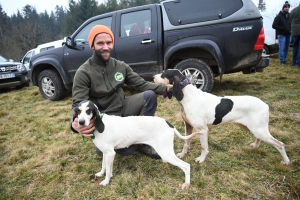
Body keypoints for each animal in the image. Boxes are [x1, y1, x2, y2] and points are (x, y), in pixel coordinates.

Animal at [154, 69, 290, 165]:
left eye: (164, 73)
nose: (153, 77)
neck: (188, 95)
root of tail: (265, 105)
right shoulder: (188, 127)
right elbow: (186, 143)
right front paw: (182, 155)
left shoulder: (202, 130)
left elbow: (204, 147)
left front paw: (201, 159)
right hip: (253, 129)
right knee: (259, 139)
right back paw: (256, 146)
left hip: (259, 130)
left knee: (280, 144)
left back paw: (286, 161)